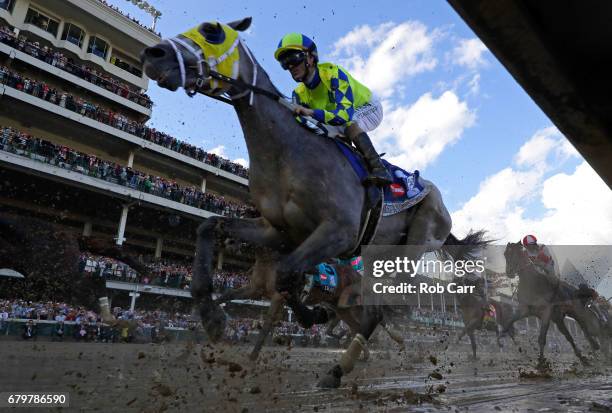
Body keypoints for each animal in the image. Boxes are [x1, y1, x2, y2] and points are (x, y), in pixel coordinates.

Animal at [140, 17, 488, 388]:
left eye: (212, 30)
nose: (154, 54)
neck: (285, 152)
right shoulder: (276, 230)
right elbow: (210, 228)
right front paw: (212, 316)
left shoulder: (339, 232)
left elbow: (287, 275)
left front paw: (312, 314)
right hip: (377, 254)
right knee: (373, 306)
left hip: (414, 243)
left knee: (380, 303)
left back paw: (341, 366)